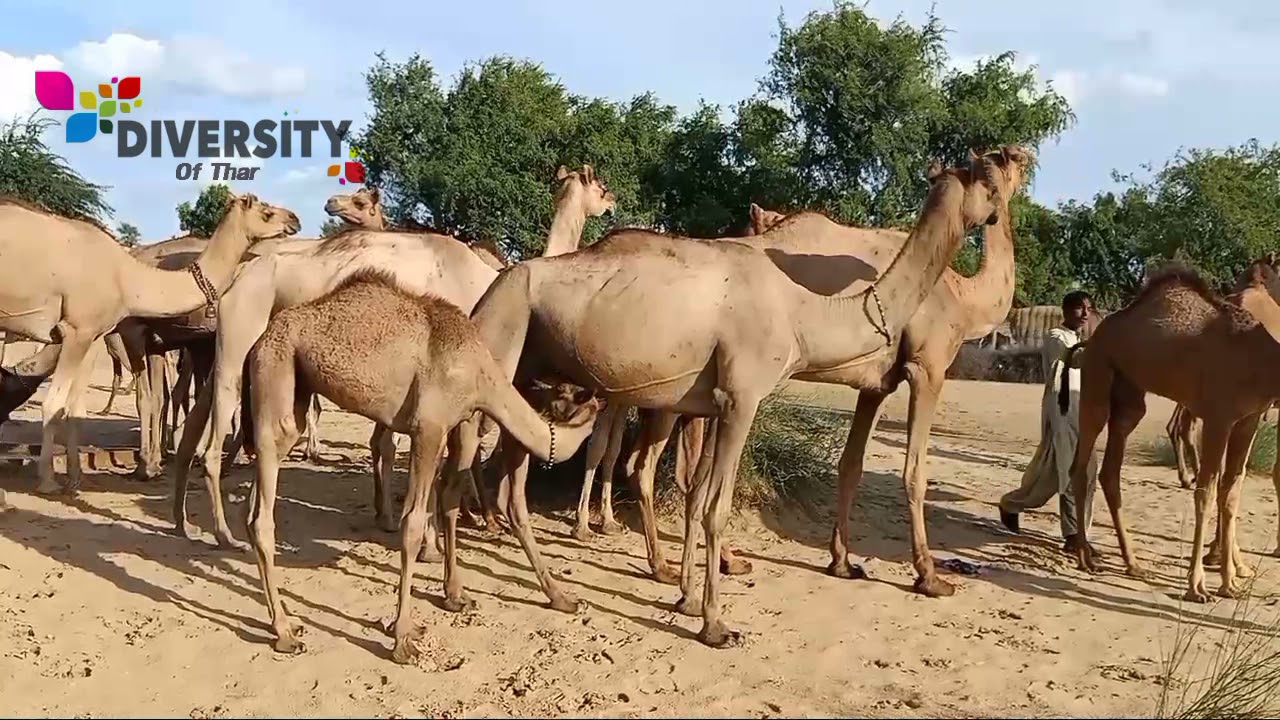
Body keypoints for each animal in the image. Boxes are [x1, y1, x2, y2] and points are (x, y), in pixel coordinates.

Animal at [0, 193, 299, 492]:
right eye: (266, 212)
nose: (294, 219)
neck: (128, 279)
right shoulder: (89, 331)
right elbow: (71, 404)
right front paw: (54, 481)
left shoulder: (92, 333)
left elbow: (76, 406)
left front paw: (76, 478)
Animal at [168, 164, 615, 549]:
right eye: (602, 187)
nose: (612, 204)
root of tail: (235, 280)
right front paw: (441, 534)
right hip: (239, 342)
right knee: (213, 439)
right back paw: (224, 533)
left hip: (229, 345)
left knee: (197, 424)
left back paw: (183, 521)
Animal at [240, 271, 603, 662]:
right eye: (589, 411)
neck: (479, 373)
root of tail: (257, 343)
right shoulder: (428, 428)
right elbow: (412, 524)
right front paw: (403, 639)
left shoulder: (446, 429)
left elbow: (447, 501)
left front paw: (453, 601)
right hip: (275, 376)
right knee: (262, 516)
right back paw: (285, 634)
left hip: (292, 394)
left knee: (255, 503)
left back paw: (286, 622)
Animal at [1062, 255, 1280, 603]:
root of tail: (1091, 336)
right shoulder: (1219, 418)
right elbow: (1206, 493)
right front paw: (1198, 587)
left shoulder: (1248, 420)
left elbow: (1231, 492)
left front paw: (1230, 585)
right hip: (1097, 376)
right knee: (1082, 465)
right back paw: (1086, 558)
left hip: (1130, 396)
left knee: (1110, 469)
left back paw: (1133, 564)